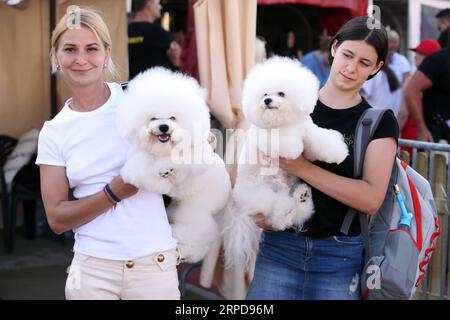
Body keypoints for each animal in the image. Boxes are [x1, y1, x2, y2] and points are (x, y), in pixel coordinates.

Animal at [116, 67, 232, 262]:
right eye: (153, 118)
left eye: (173, 118)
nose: (164, 127)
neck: (163, 148)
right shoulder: (141, 156)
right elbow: (141, 166)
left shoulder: (194, 154)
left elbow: (182, 159)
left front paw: (167, 169)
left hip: (197, 207)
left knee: (200, 233)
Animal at [224, 56, 348, 268]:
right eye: (265, 94)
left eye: (281, 93)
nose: (267, 100)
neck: (283, 122)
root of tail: (241, 209)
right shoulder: (273, 139)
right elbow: (289, 144)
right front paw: (295, 147)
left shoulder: (307, 130)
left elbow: (320, 140)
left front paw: (337, 152)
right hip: (260, 194)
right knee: (277, 214)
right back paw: (285, 212)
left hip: (289, 187)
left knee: (297, 212)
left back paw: (302, 198)